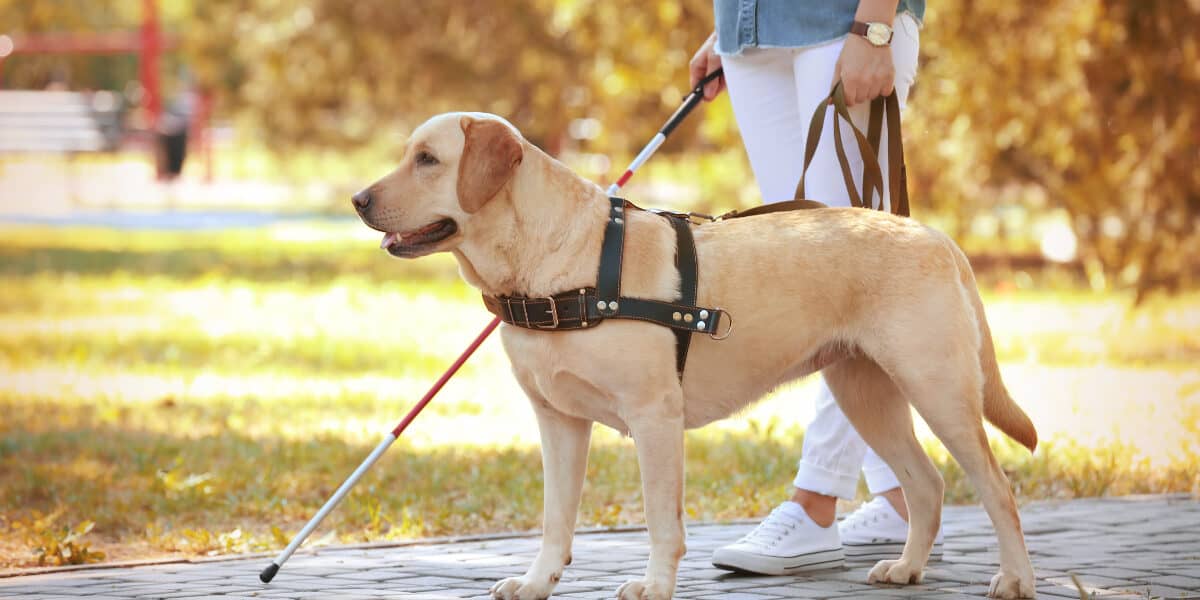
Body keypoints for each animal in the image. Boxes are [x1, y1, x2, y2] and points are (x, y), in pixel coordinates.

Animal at [350, 113, 1041, 600]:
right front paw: (538, 581)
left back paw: (1016, 579)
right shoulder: (559, 422)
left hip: (938, 389)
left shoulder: (655, 418)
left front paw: (654, 585)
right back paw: (906, 568)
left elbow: (662, 520)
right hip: (865, 392)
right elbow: (555, 520)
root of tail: (934, 234)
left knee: (997, 489)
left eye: (428, 159)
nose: (357, 199)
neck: (554, 265)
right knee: (926, 484)